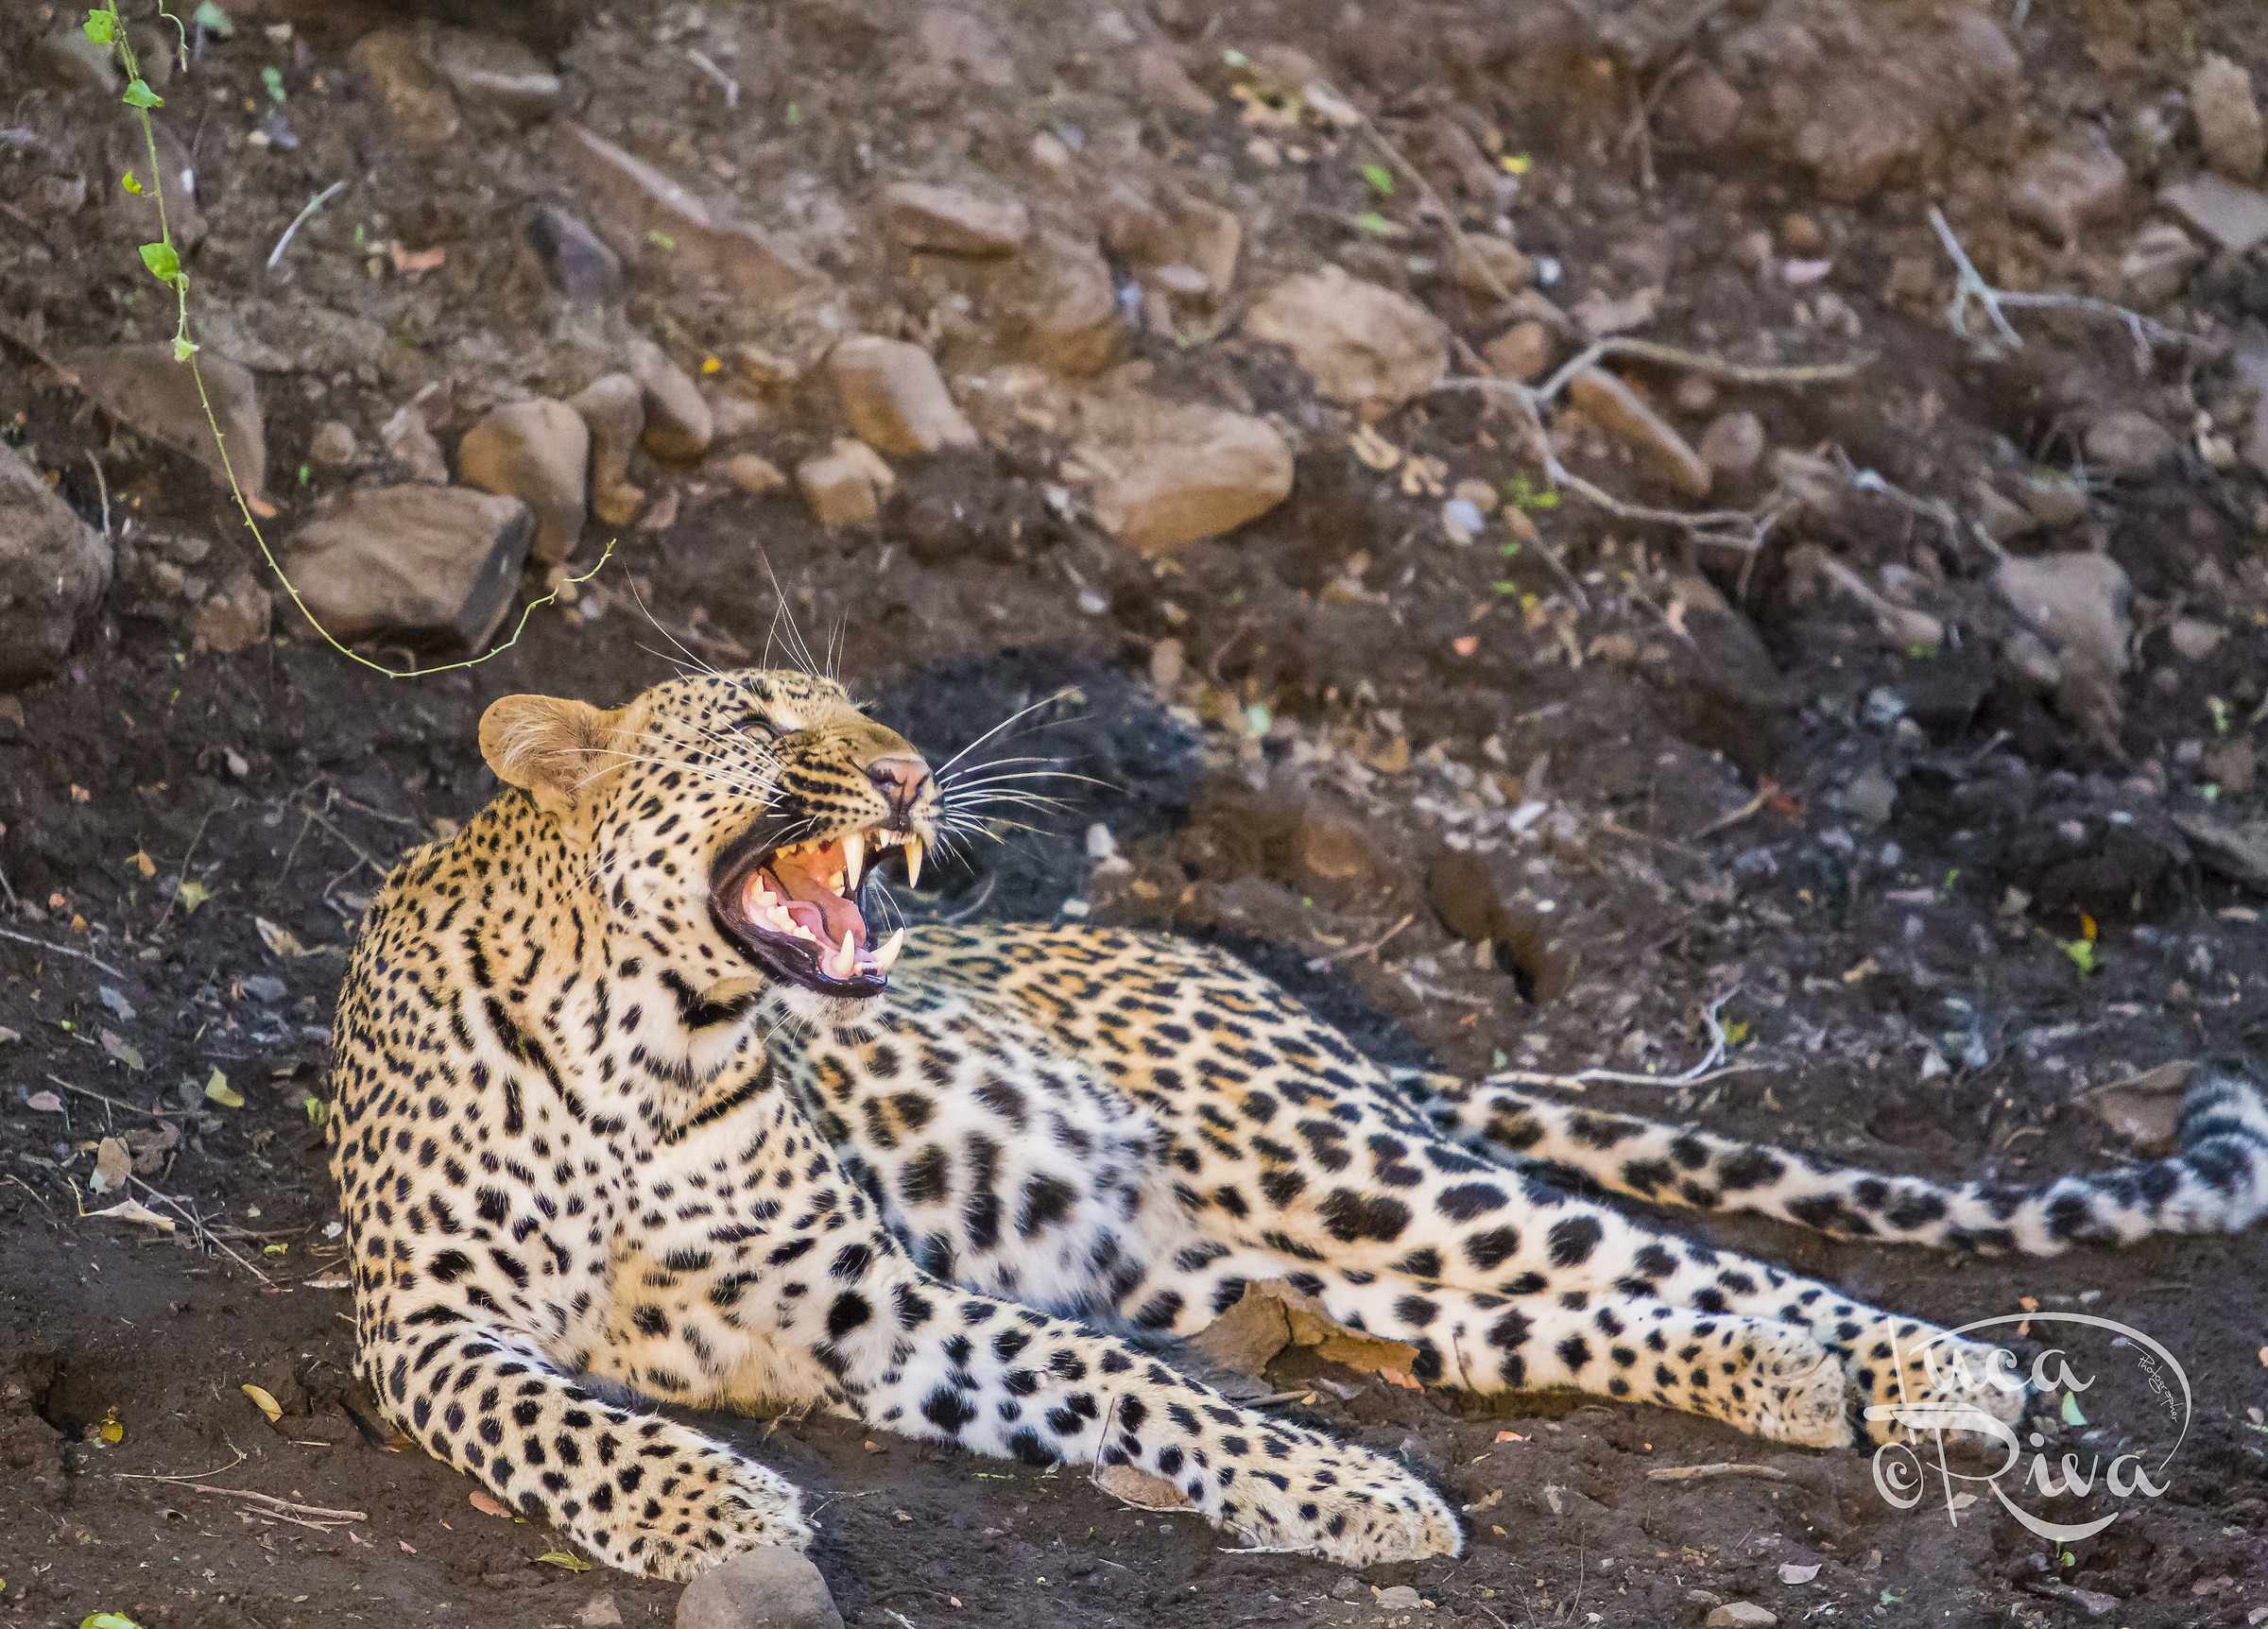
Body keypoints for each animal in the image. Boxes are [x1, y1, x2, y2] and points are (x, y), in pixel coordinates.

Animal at [327, 665, 2268, 1582]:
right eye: (759, 714)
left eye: (858, 704)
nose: (907, 771)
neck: (656, 1039)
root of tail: (1251, 977)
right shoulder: (429, 1325)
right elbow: (566, 1419)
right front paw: (713, 1503)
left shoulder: (870, 1296)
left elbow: (1124, 1386)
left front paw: (1343, 1491)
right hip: (1300, 1261)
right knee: (1567, 1314)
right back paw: (1796, 1387)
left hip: (1350, 1168)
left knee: (1682, 1254)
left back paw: (1951, 1371)